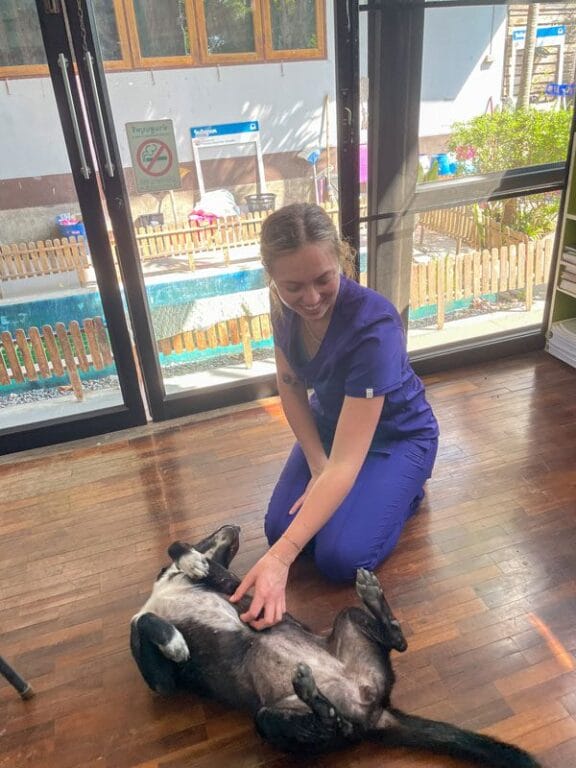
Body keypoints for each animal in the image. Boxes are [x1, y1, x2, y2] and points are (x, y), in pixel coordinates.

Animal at [129, 524, 540, 764]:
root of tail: (375, 710)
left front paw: (189, 561)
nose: (234, 526)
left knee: (345, 713)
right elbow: (143, 620)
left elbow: (168, 577)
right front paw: (174, 636)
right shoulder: (163, 683)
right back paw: (315, 687)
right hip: (282, 704)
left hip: (297, 692)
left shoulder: (232, 587)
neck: (172, 588)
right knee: (341, 714)